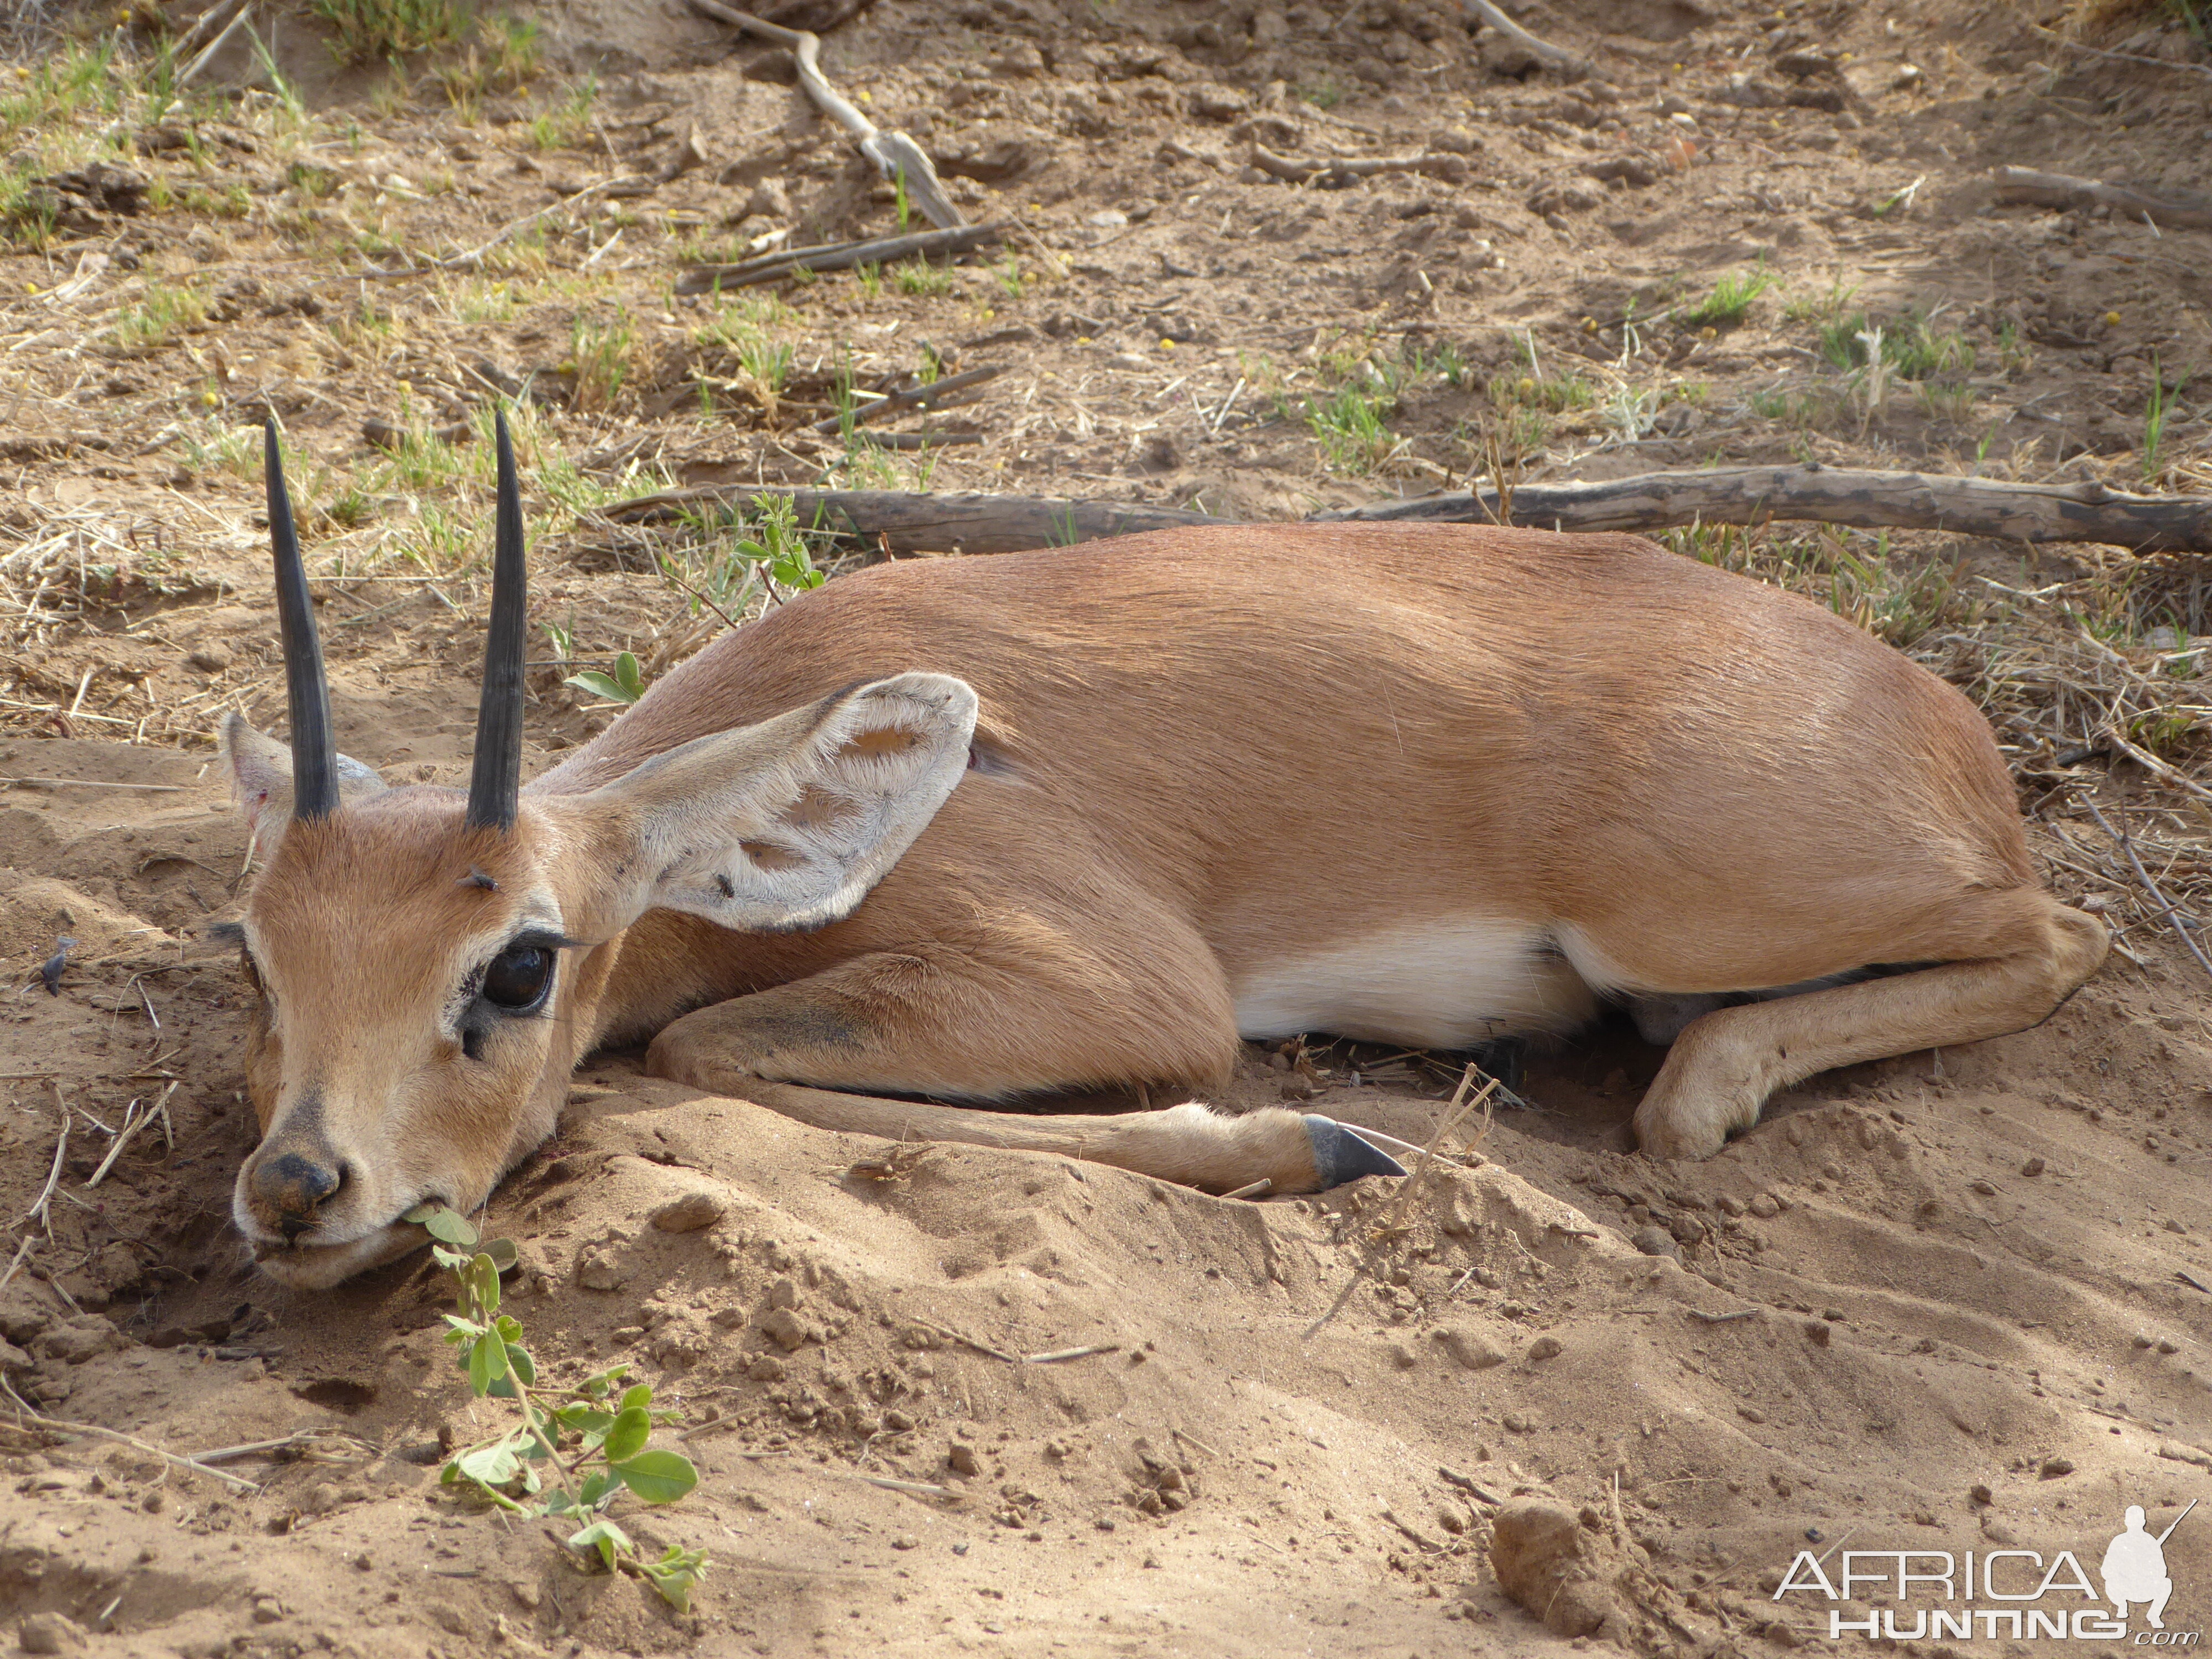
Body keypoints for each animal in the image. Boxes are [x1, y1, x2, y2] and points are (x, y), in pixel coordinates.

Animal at [220, 418, 2106, 1301]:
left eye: (520, 960)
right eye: (257, 948)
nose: (299, 1187)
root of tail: (1930, 712)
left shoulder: (1118, 981)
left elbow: (704, 1051)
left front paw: (1320, 1142)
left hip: (1681, 914)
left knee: (2065, 938)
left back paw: (1698, 1093)